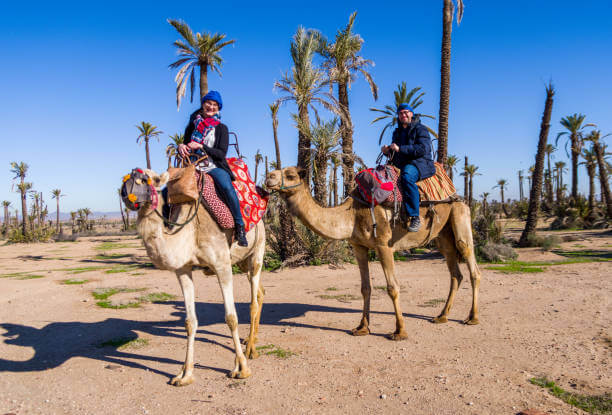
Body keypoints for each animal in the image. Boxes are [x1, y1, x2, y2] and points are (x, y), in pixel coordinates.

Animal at [123, 169, 266, 386]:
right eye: (126, 177)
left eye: (152, 180)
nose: (126, 192)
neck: (190, 232)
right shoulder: (183, 269)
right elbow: (190, 322)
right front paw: (184, 375)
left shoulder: (222, 265)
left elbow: (231, 318)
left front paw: (241, 369)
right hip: (242, 262)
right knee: (260, 292)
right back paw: (251, 342)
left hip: (258, 250)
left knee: (253, 301)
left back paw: (250, 350)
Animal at [266, 167, 480, 342]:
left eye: (290, 174)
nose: (268, 177)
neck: (351, 214)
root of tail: (456, 195)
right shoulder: (358, 246)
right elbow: (365, 288)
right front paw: (362, 327)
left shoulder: (384, 245)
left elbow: (392, 288)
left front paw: (399, 331)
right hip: (443, 236)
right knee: (455, 272)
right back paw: (442, 316)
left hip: (460, 216)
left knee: (471, 263)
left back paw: (472, 318)